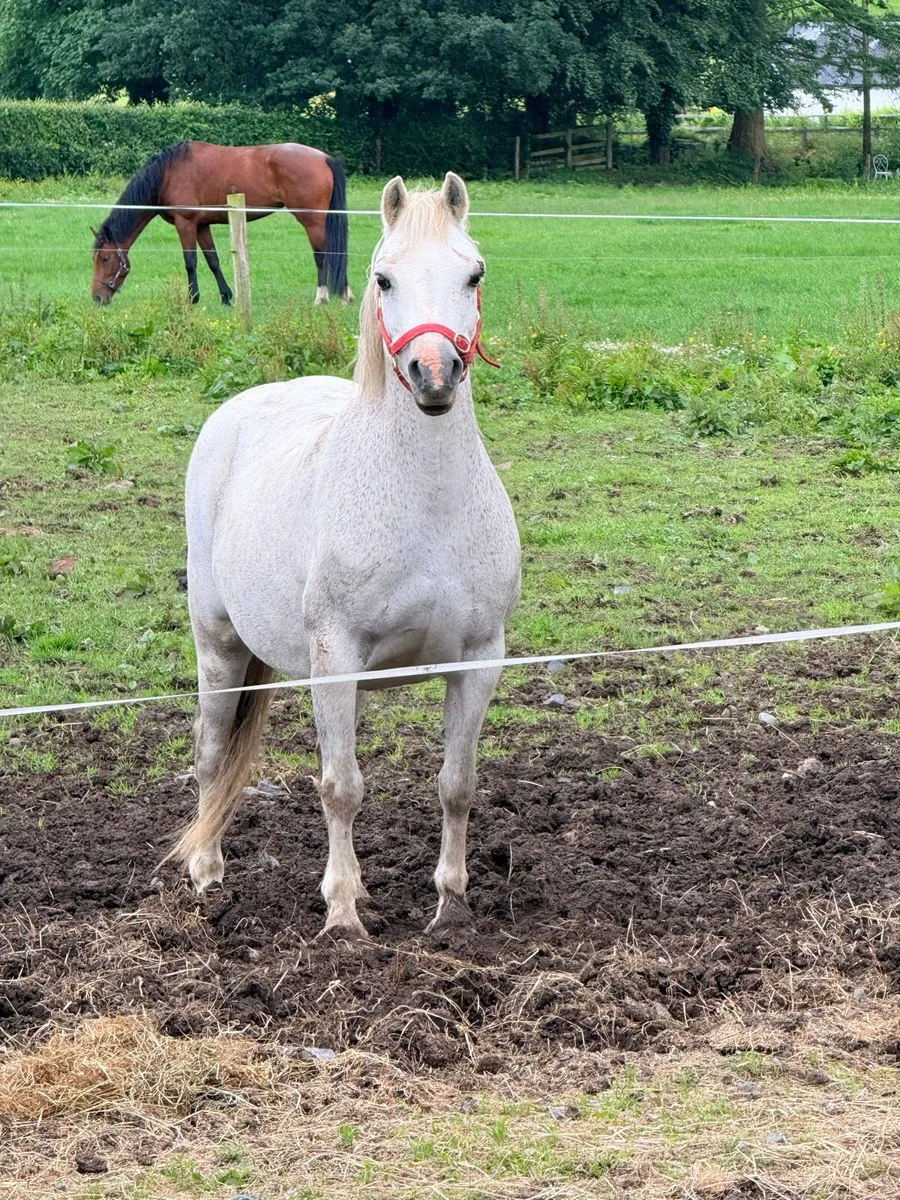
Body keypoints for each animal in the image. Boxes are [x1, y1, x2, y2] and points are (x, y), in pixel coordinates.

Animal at [91, 141, 351, 306]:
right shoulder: (202, 226)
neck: (168, 174)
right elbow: (212, 260)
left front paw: (192, 298)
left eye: (104, 258)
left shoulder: (185, 223)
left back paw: (325, 297)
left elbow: (191, 262)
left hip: (313, 221)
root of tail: (324, 158)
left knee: (325, 255)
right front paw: (226, 296)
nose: (97, 298)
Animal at [168, 172, 521, 938]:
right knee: (210, 755)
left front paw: (451, 904)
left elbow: (457, 784)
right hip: (219, 644)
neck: (426, 505)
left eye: (474, 274)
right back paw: (206, 871)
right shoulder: (335, 659)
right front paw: (342, 914)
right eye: (383, 278)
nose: (433, 376)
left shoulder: (479, 658)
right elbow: (341, 788)